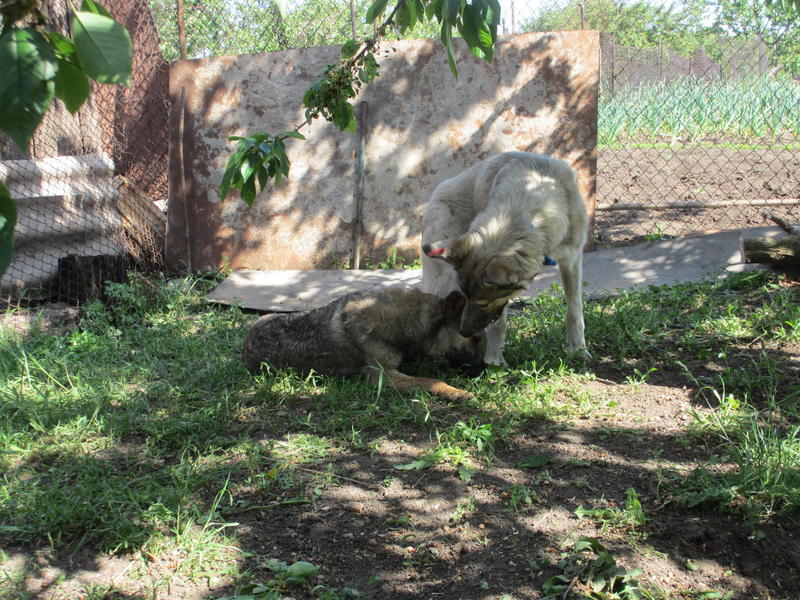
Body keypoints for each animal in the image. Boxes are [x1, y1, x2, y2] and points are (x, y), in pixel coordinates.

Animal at [418, 150, 588, 366]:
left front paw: (578, 350)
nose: (465, 332)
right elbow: (499, 324)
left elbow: (575, 309)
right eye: (468, 297)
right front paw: (494, 362)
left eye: (482, 303)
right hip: (443, 280)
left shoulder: (572, 258)